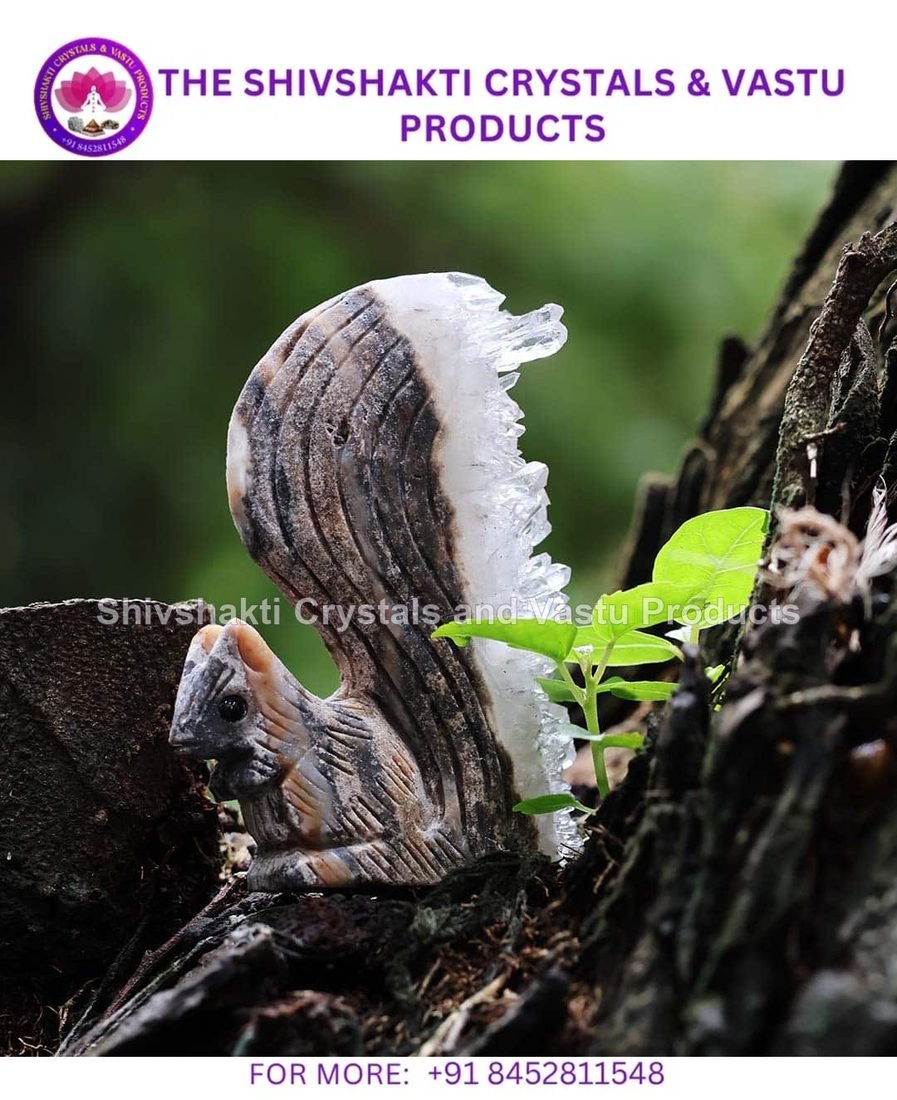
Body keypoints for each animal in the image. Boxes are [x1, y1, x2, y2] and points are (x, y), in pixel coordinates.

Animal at [169, 273, 576, 891]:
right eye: (179, 694)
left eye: (232, 707)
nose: (180, 741)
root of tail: (443, 834)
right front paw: (220, 779)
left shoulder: (296, 744)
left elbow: (274, 760)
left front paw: (246, 770)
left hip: (342, 801)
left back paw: (324, 863)